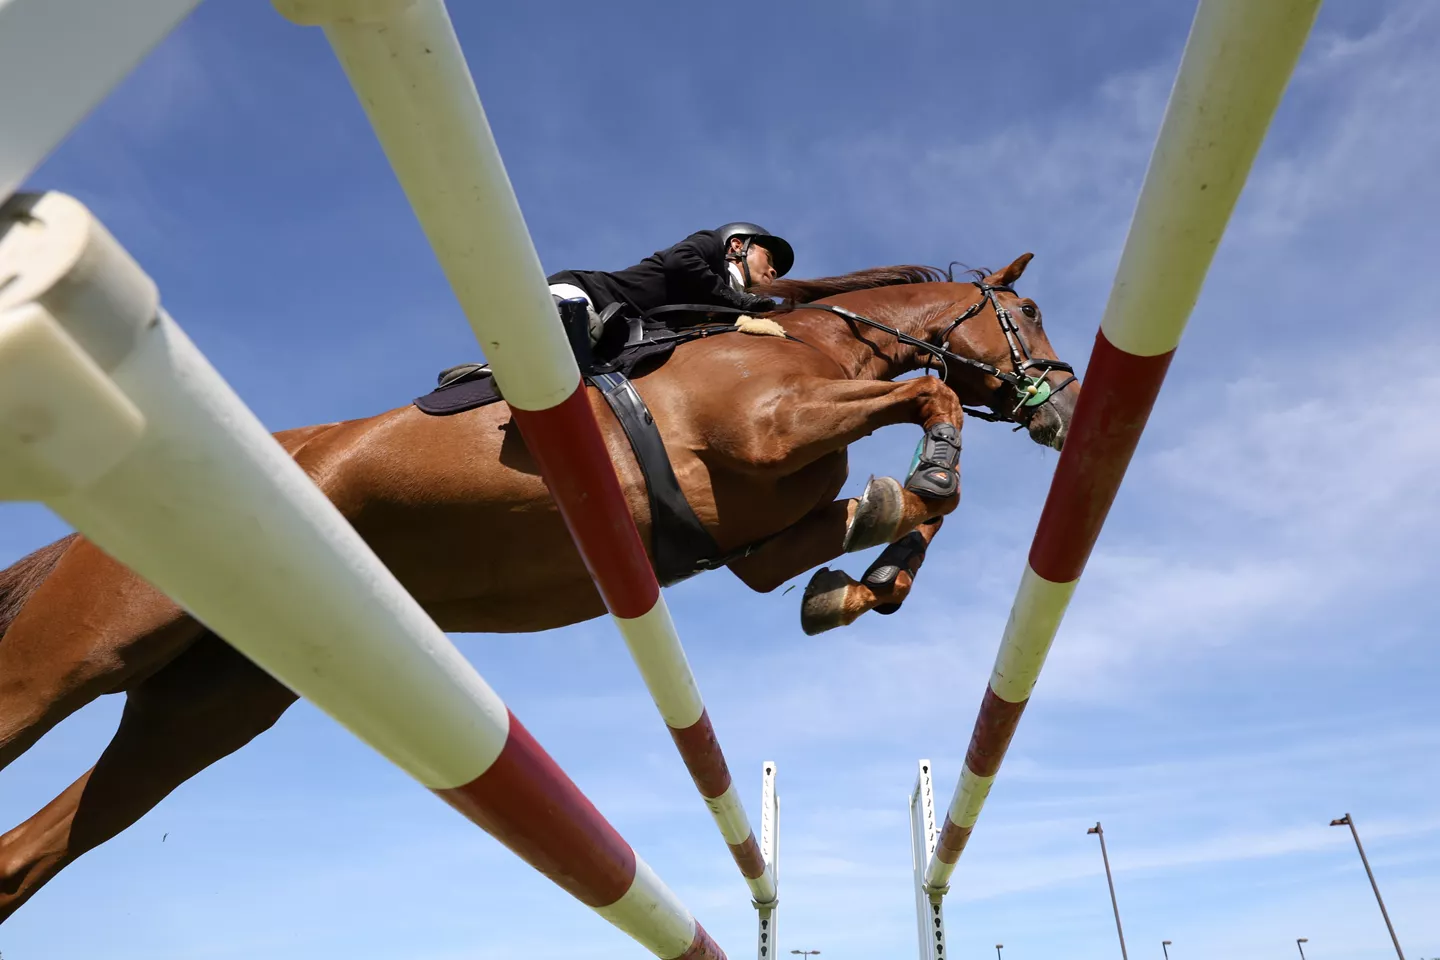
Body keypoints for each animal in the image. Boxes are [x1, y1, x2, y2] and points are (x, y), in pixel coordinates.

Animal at [0, 251, 1082, 921]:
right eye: (1027, 313)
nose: (1064, 411)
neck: (810, 342)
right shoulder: (768, 430)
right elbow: (930, 402)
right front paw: (927, 477)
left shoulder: (764, 541)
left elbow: (895, 514)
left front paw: (864, 585)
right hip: (84, 650)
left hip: (204, 709)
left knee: (28, 853)